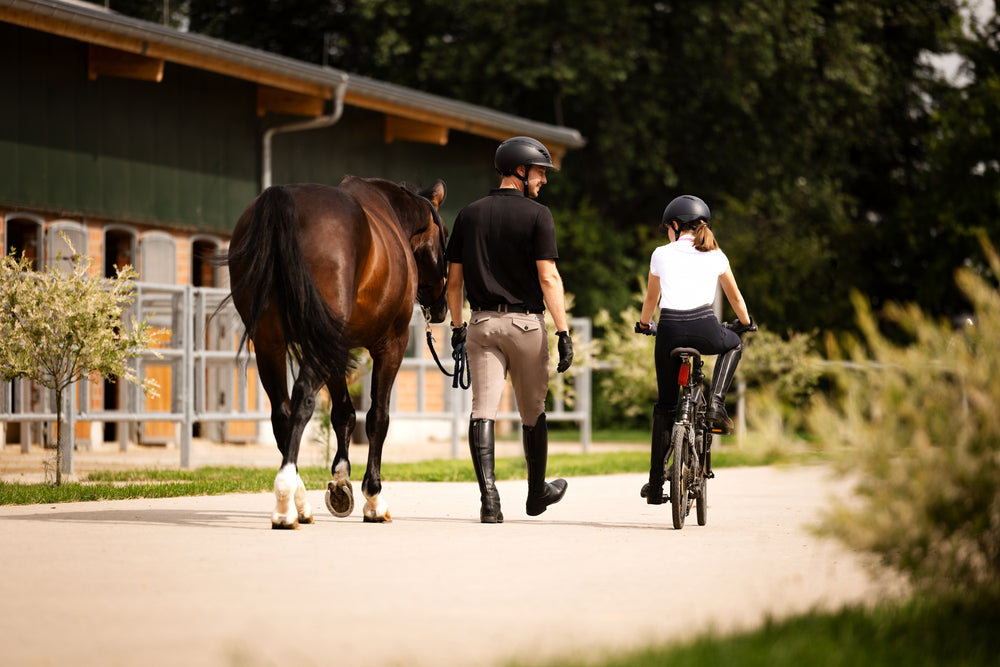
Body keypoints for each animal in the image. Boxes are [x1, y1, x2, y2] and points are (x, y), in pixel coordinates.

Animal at [229, 175, 448, 528]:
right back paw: (285, 501)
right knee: (302, 400)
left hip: (269, 342)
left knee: (282, 411)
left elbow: (343, 413)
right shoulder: (391, 343)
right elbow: (377, 417)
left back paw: (299, 501)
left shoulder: (335, 345)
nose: (440, 309)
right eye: (446, 238)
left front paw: (341, 483)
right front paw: (373, 498)